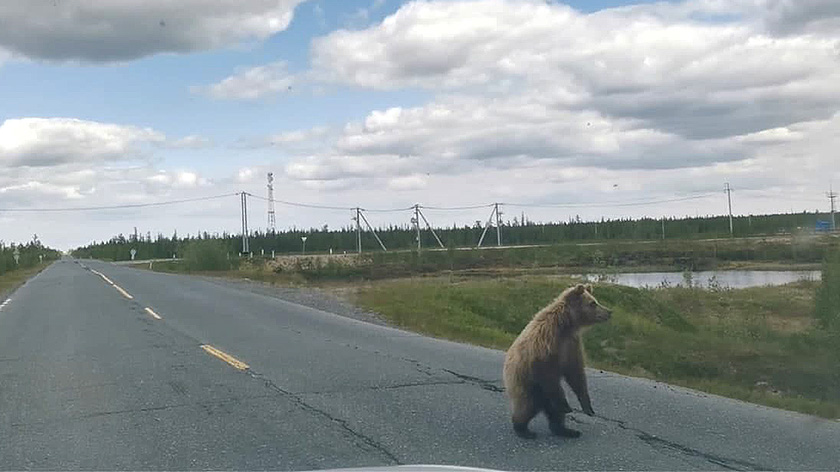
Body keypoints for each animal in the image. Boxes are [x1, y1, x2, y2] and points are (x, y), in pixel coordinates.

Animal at [498, 284, 612, 438]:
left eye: (596, 301)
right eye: (592, 303)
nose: (609, 312)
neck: (566, 324)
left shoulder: (571, 344)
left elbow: (576, 373)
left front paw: (588, 407)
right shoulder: (545, 344)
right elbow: (548, 373)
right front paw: (567, 406)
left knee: (554, 412)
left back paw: (566, 430)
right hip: (525, 384)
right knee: (526, 406)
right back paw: (523, 429)